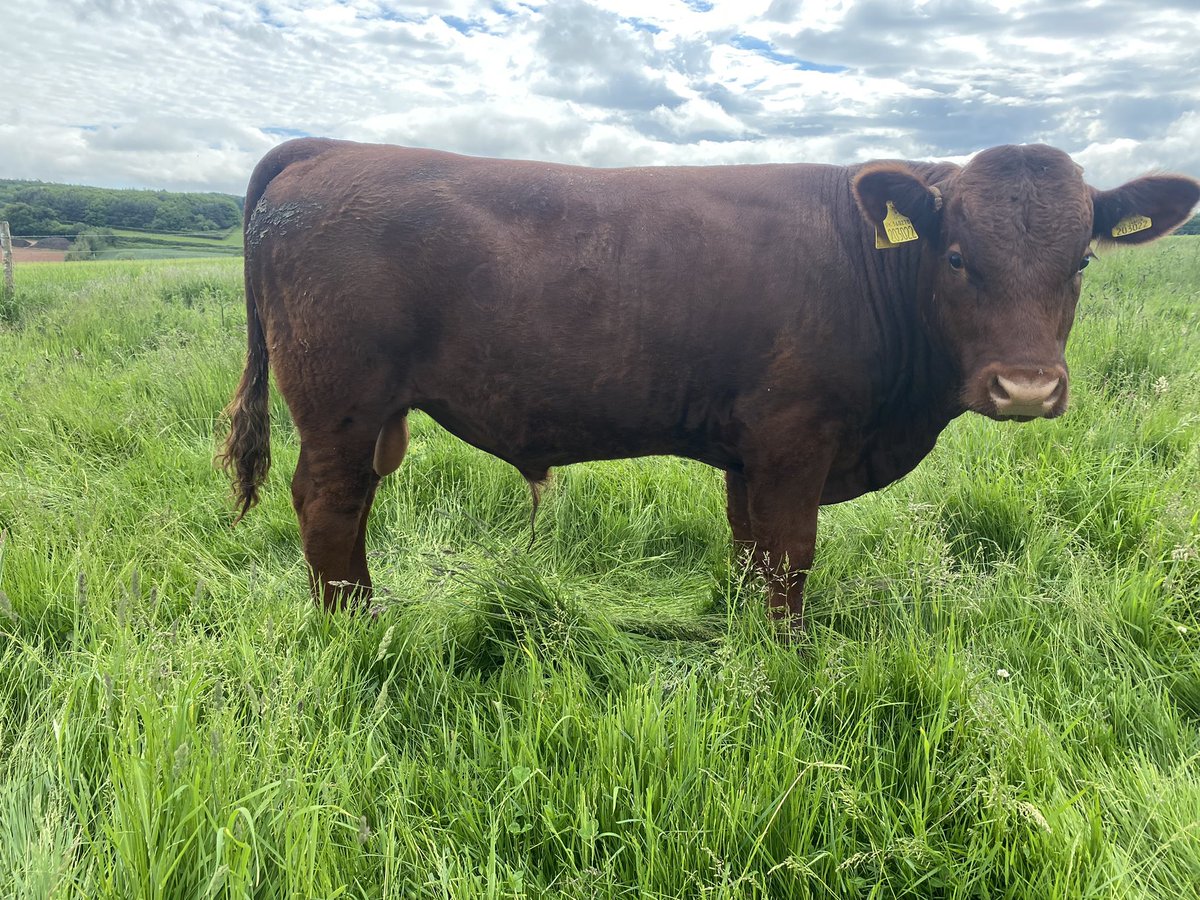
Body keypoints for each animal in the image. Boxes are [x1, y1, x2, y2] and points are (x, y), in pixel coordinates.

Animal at [221, 138, 1198, 627]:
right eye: (957, 256)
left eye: (1080, 261)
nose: (1026, 389)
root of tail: (331, 151)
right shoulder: (795, 439)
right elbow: (791, 554)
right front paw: (790, 653)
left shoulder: (750, 450)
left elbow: (748, 546)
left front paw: (740, 629)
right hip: (339, 408)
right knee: (329, 507)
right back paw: (355, 629)